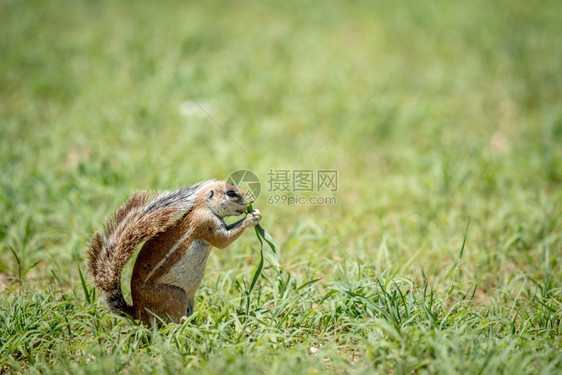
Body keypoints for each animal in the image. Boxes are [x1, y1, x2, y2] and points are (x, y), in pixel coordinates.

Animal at [86, 181, 262, 324]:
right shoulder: (206, 223)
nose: (251, 198)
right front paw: (252, 217)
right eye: (231, 192)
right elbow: (223, 241)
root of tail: (137, 313)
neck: (203, 207)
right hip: (175, 296)